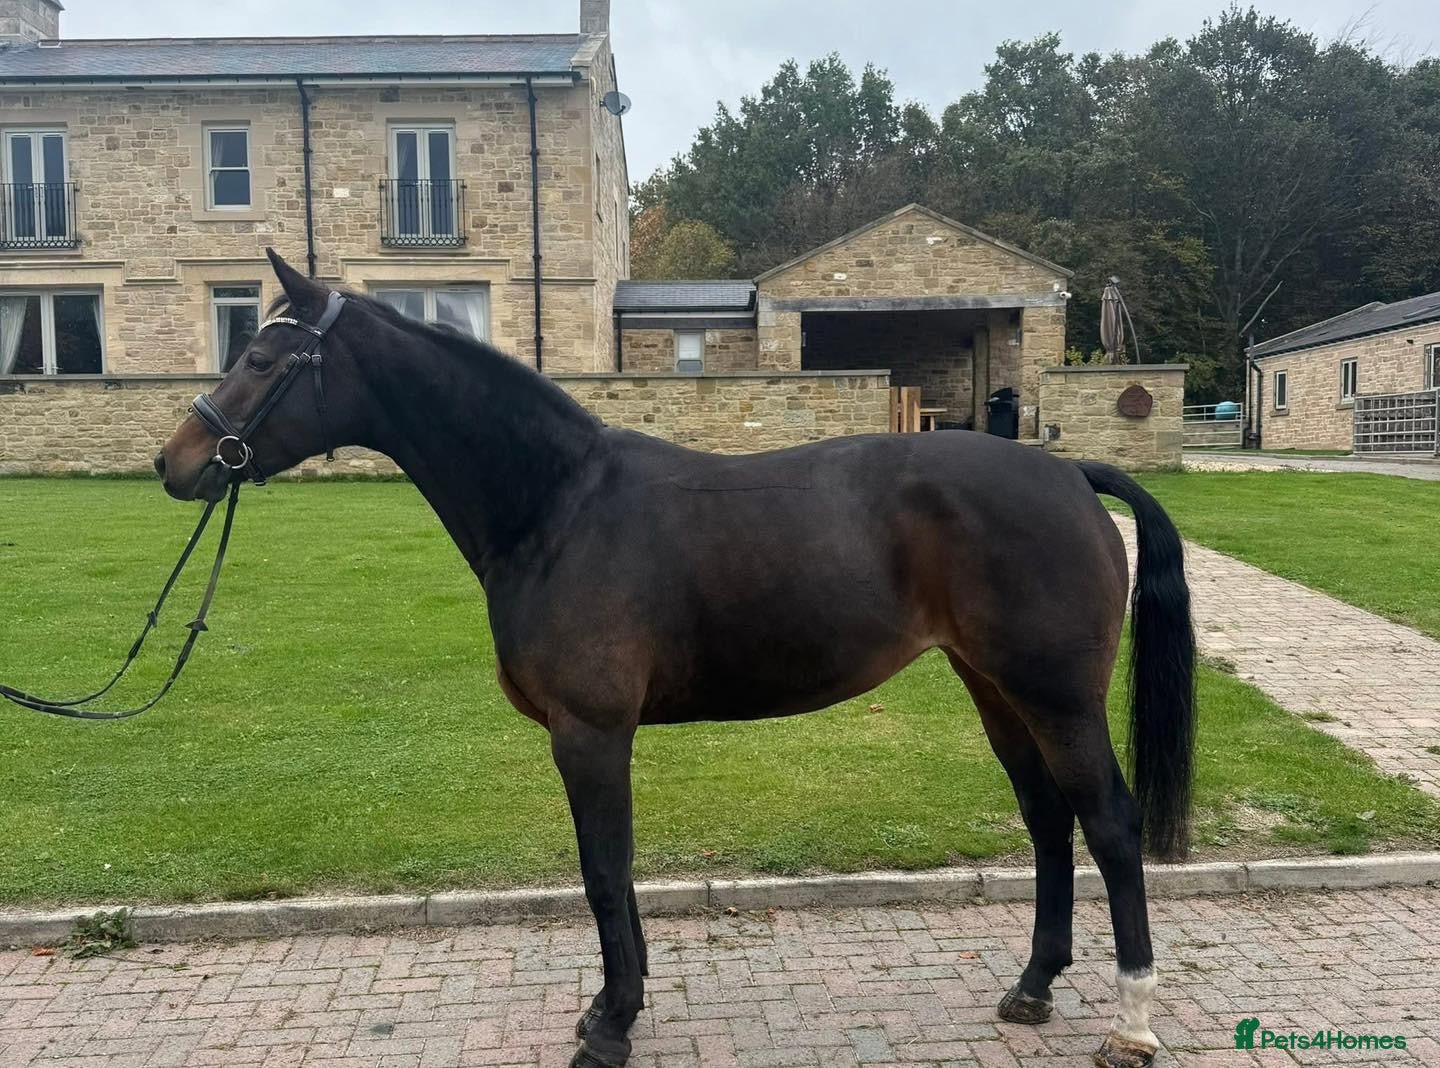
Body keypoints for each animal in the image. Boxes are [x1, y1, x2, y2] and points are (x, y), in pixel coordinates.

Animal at [156, 249, 1195, 1068]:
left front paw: (611, 1027)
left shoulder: (589, 731)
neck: (558, 504)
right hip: (993, 688)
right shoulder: (591, 736)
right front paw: (613, 1005)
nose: (177, 461)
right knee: (1048, 820)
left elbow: (602, 872)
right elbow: (610, 872)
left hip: (1057, 698)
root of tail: (1068, 472)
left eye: (259, 357)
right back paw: (1033, 987)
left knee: (1109, 824)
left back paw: (1133, 1023)